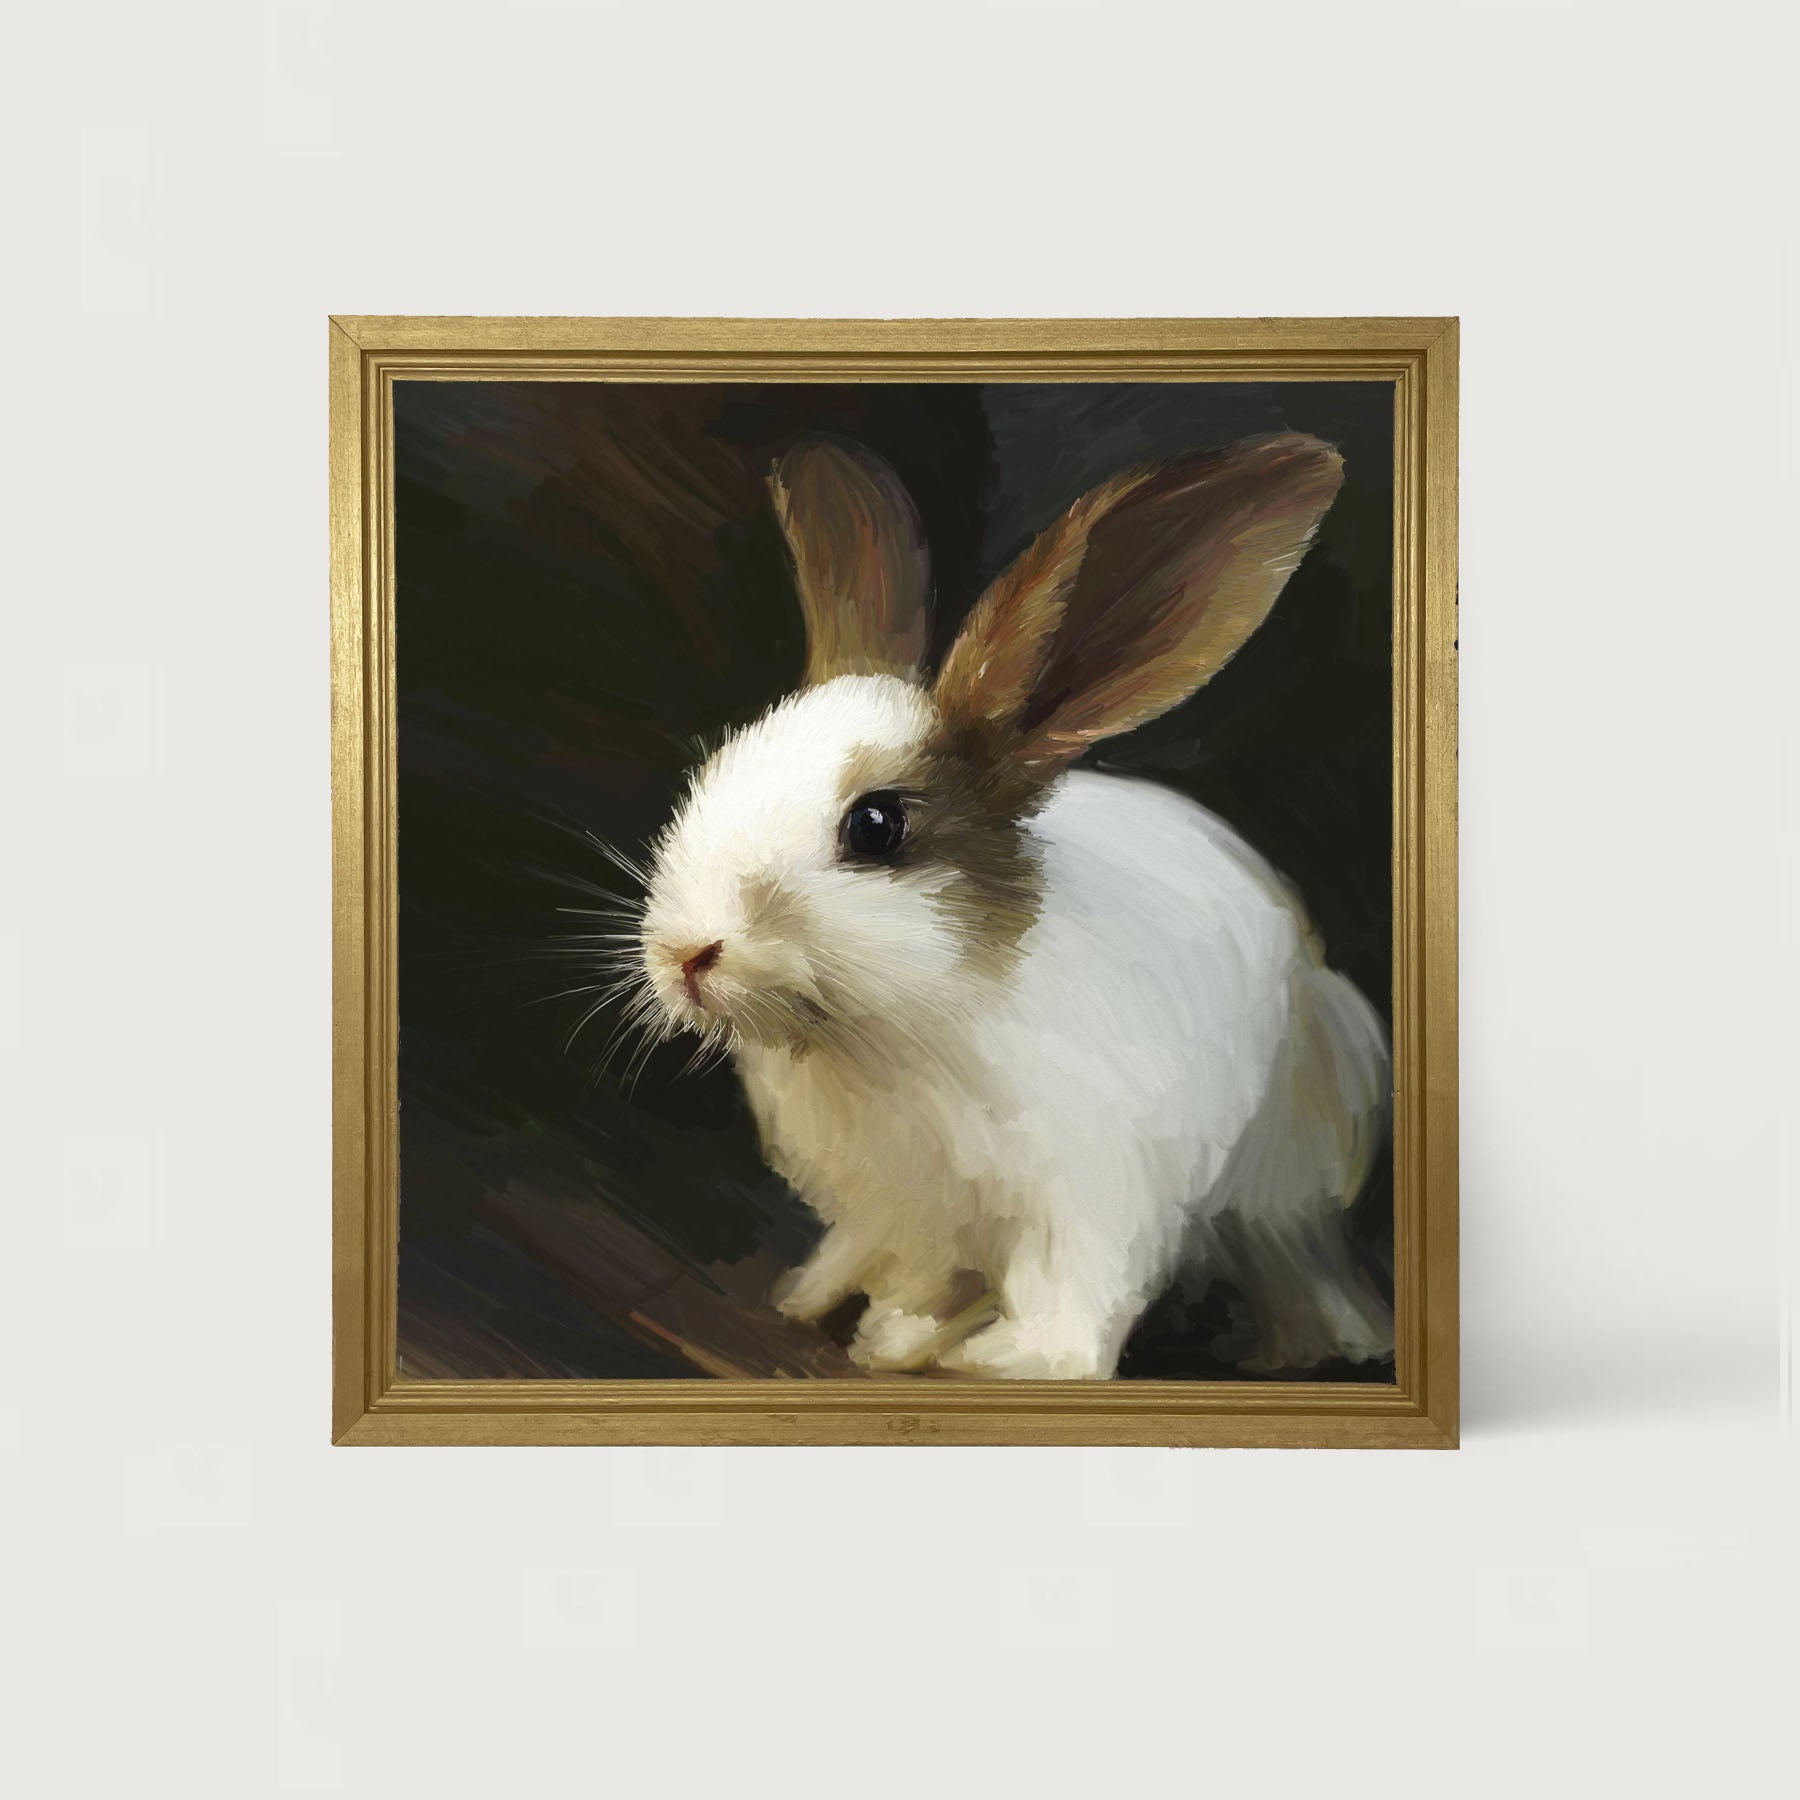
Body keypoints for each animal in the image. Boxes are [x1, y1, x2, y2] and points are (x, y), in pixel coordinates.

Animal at [629, 431, 1393, 1379]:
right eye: (717, 767)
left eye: (876, 826)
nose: (686, 953)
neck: (890, 1034)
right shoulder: (896, 1211)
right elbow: (912, 1276)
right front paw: (879, 1330)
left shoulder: (1090, 1202)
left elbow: (1069, 1306)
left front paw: (1000, 1361)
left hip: (1288, 1183)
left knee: (1296, 1263)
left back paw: (1315, 1346)